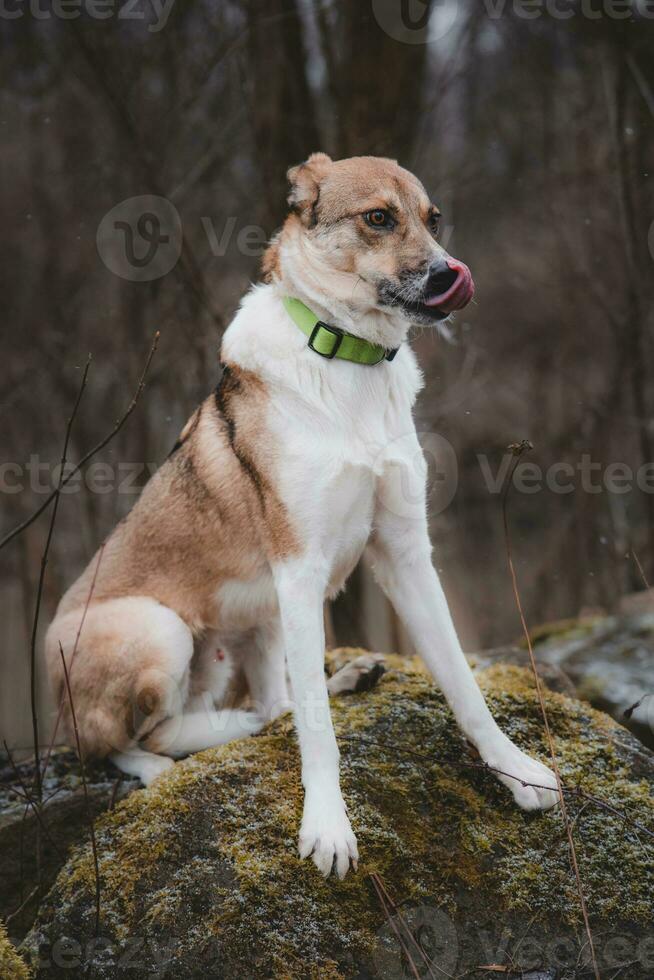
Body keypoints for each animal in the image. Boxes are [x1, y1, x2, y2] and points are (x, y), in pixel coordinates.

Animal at [47, 155, 560, 880]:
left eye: (433, 220)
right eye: (378, 218)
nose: (448, 274)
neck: (349, 358)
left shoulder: (406, 556)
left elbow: (462, 682)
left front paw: (517, 773)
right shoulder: (298, 569)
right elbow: (318, 731)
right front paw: (328, 827)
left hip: (254, 625)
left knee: (273, 698)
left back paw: (334, 683)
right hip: (159, 628)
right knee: (136, 740)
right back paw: (210, 739)